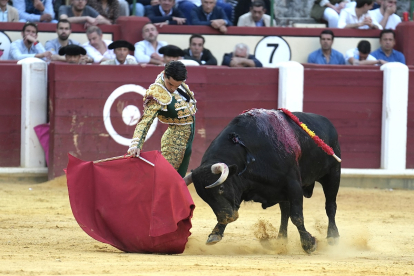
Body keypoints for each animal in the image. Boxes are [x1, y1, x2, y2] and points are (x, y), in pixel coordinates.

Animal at [186, 109, 342, 253]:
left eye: (221, 188)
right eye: (204, 197)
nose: (226, 218)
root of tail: (328, 123)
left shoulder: (293, 185)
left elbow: (297, 216)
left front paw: (309, 244)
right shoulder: (243, 187)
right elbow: (234, 206)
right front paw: (215, 233)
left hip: (333, 174)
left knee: (330, 205)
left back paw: (333, 237)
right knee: (285, 211)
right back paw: (281, 239)